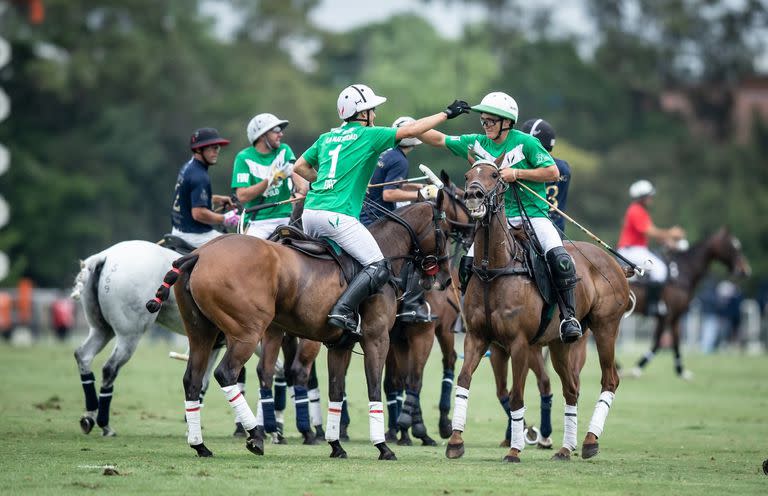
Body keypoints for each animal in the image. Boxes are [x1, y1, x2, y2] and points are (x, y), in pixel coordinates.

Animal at [147, 200, 452, 460]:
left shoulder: (340, 345)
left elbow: (336, 391)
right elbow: (374, 387)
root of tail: (198, 254)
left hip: (202, 333)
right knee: (227, 373)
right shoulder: (376, 339)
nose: (446, 279)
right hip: (247, 332)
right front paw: (383, 447)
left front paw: (336, 445)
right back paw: (255, 436)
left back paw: (201, 445)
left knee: (192, 380)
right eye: (446, 230)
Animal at [448, 162, 632, 462]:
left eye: (495, 175)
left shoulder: (519, 343)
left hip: (606, 328)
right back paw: (566, 448)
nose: (473, 195)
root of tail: (615, 263)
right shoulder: (477, 337)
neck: (493, 269)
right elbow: (463, 381)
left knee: (609, 380)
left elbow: (517, 395)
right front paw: (455, 441)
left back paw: (590, 441)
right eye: (467, 175)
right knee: (571, 388)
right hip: (559, 344)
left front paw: (514, 449)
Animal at [632, 227, 752, 378]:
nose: (745, 270)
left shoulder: (676, 316)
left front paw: (681, 371)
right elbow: (658, 342)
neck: (682, 272)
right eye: (734, 246)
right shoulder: (667, 315)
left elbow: (676, 341)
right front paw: (637, 368)